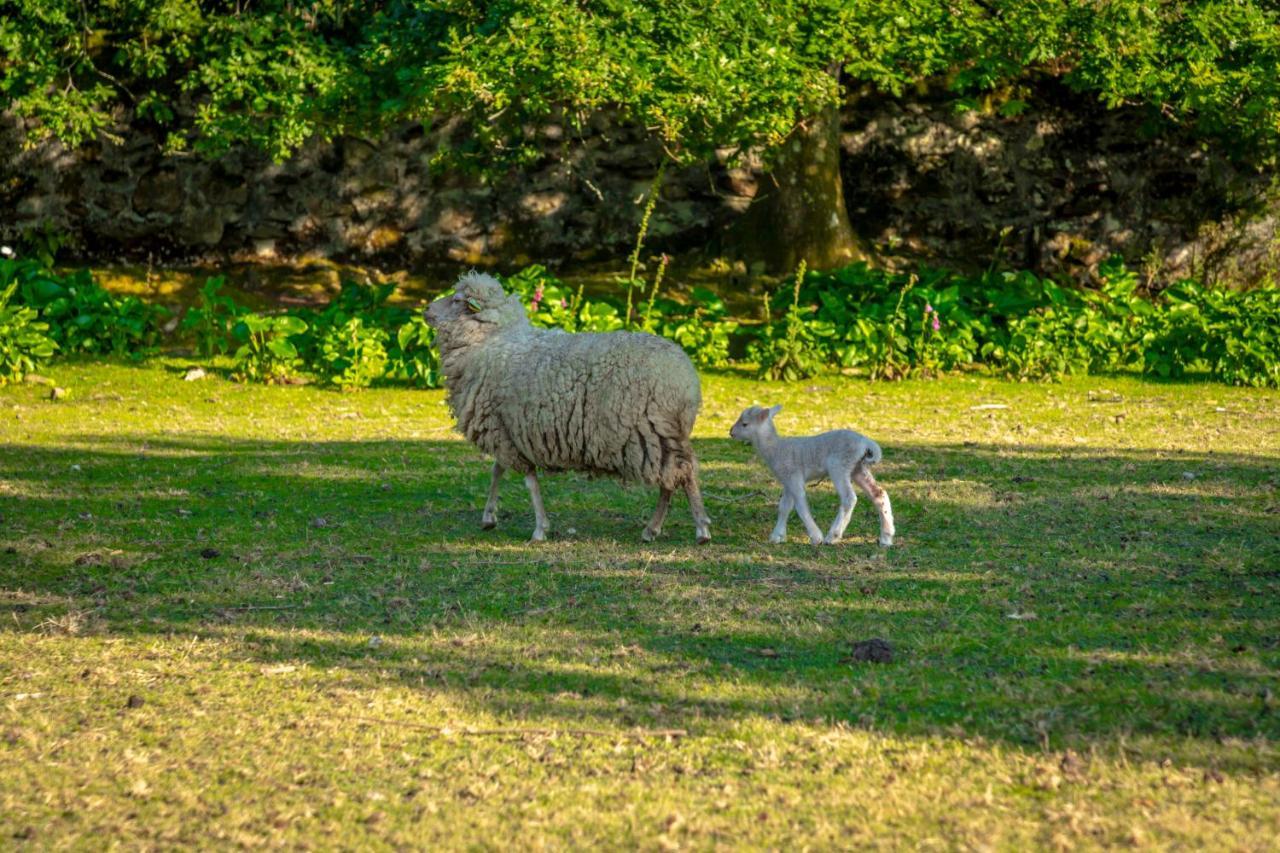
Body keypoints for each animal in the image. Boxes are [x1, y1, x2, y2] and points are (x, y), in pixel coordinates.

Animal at [427, 268, 711, 540]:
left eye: (456, 300)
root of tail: (687, 381)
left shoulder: (506, 432)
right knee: (672, 479)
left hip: (650, 431)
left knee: (681, 473)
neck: (489, 341)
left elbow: (527, 481)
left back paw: (699, 529)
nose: (426, 310)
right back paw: (653, 530)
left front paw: (539, 529)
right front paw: (489, 517)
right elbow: (498, 470)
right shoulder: (509, 433)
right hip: (664, 434)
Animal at [732, 404, 901, 545]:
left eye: (745, 424)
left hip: (839, 465)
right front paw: (777, 536)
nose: (731, 432)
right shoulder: (788, 480)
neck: (775, 448)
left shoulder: (793, 476)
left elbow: (800, 505)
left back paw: (832, 536)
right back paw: (886, 537)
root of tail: (866, 442)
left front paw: (815, 537)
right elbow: (784, 507)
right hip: (858, 468)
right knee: (879, 494)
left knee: (849, 498)